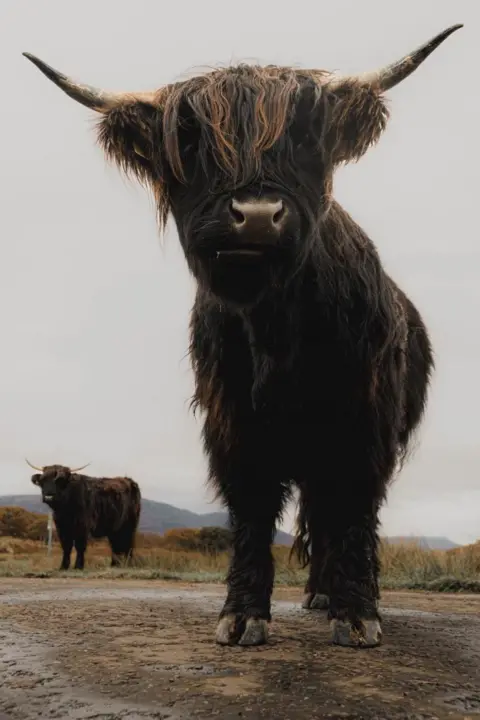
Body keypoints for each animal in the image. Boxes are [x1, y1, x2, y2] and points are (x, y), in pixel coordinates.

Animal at [24, 23, 464, 648]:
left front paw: (358, 614)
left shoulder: (363, 419)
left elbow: (353, 508)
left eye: (307, 139)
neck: (276, 327)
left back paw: (333, 596)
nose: (256, 215)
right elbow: (251, 508)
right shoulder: (232, 419)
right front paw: (240, 615)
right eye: (191, 142)